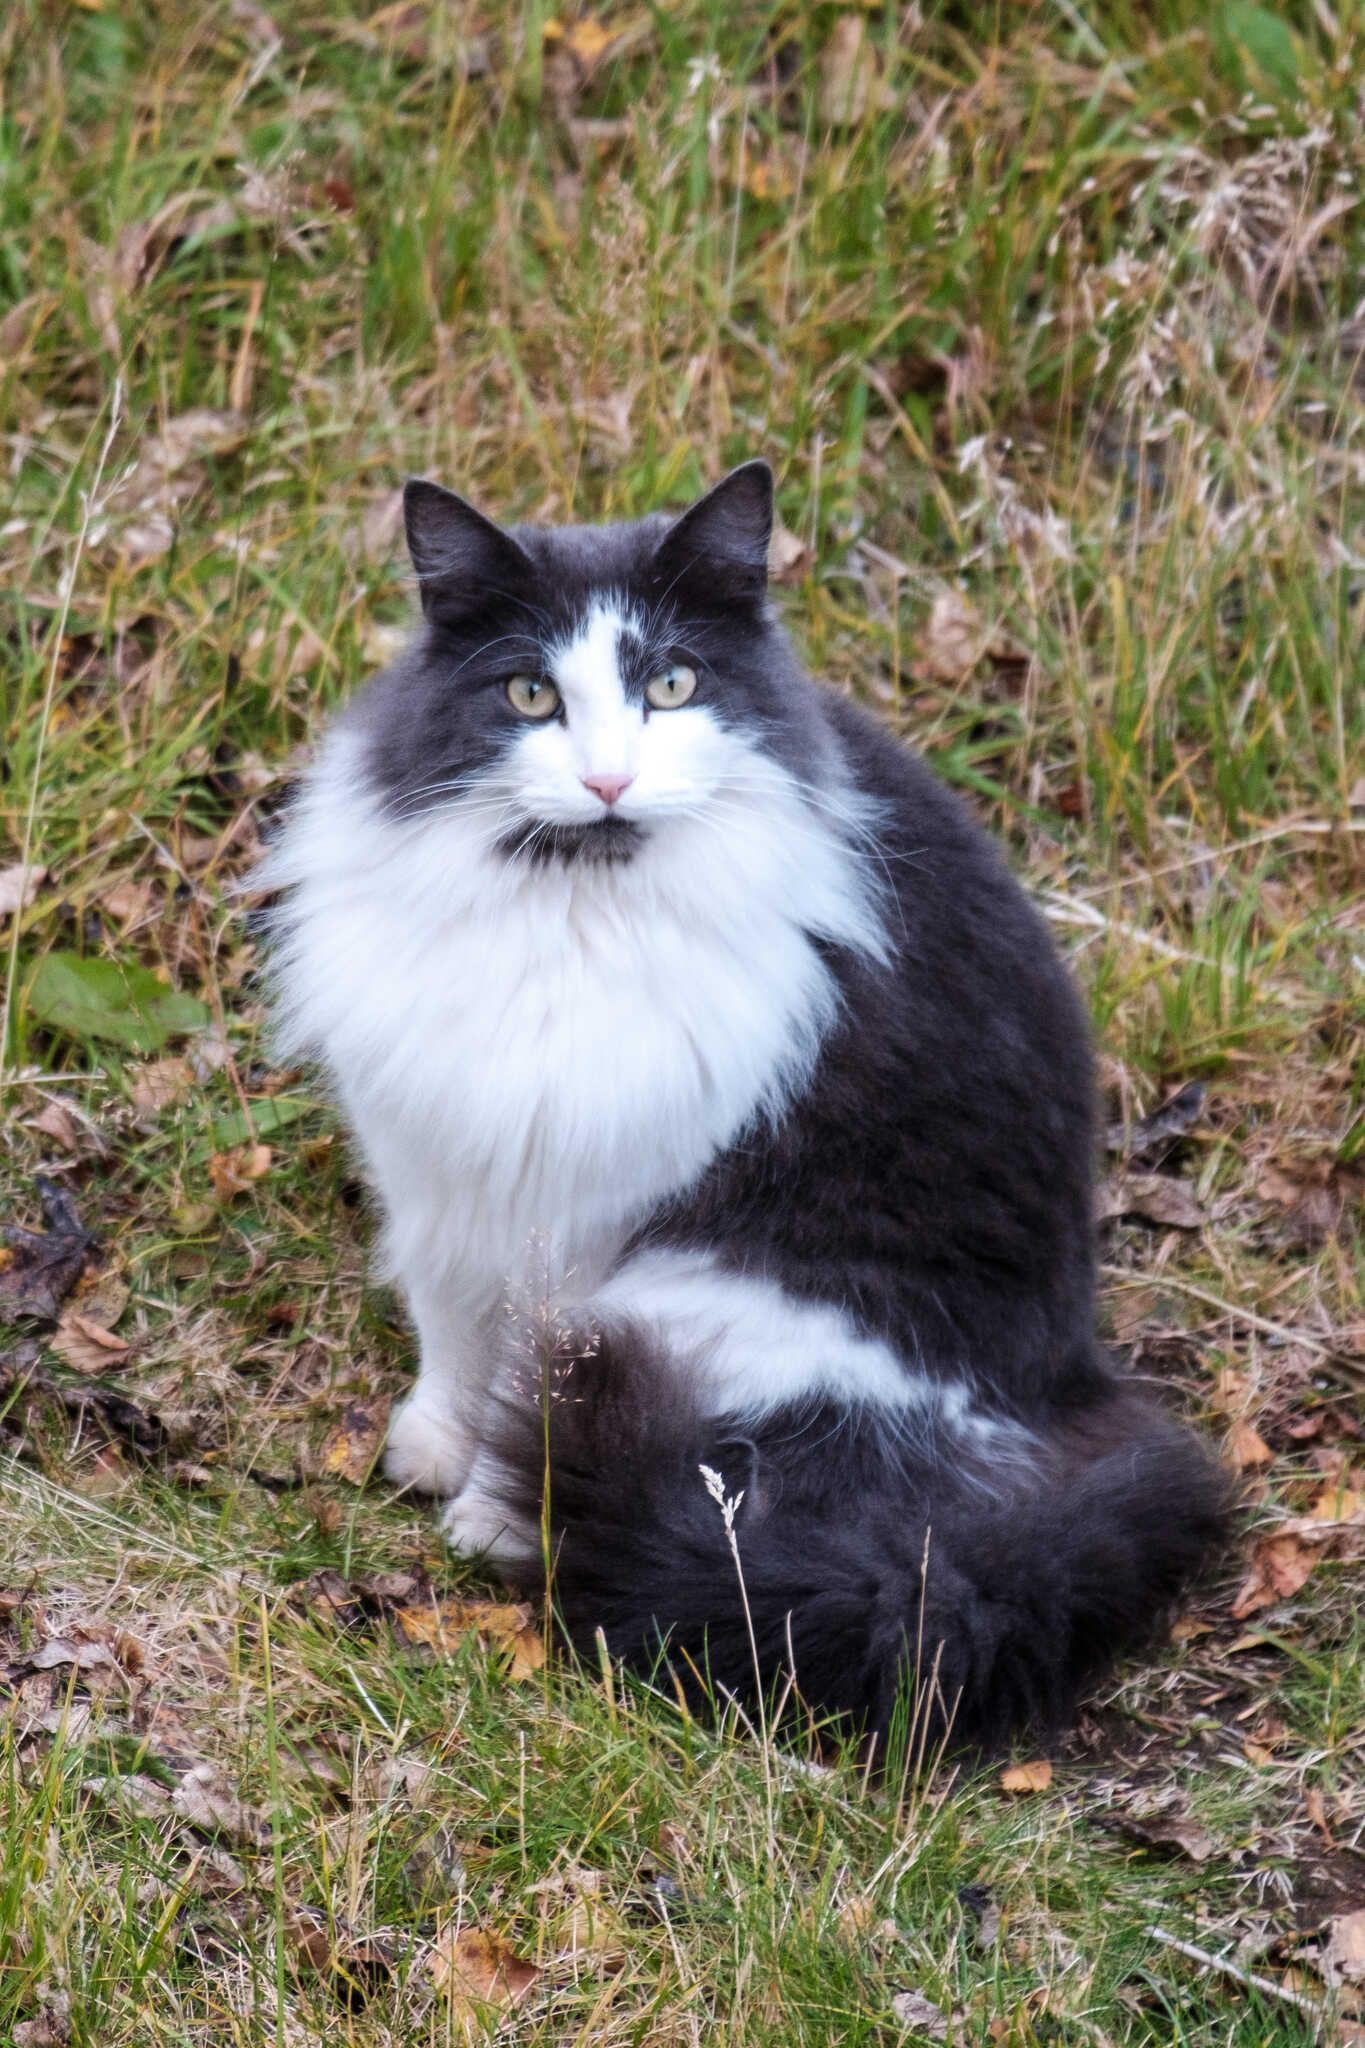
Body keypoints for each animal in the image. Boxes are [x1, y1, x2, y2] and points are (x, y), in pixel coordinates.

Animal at [263, 460, 1227, 1744]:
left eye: (672, 685)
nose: (607, 780)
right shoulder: (445, 1165)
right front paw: (435, 1439)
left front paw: (490, 1503)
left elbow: (528, 1364)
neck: (569, 914)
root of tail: (1076, 1395)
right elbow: (453, 1324)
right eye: (529, 694)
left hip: (722, 1308)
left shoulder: (586, 1214)